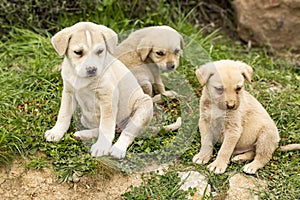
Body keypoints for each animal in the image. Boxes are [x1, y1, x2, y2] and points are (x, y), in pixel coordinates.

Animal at [44, 21, 154, 159]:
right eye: (78, 52)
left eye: (100, 51)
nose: (92, 69)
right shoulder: (68, 93)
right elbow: (63, 115)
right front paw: (56, 132)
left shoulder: (107, 99)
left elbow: (106, 126)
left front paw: (102, 146)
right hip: (86, 119)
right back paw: (82, 135)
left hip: (144, 106)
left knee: (127, 133)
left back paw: (117, 149)